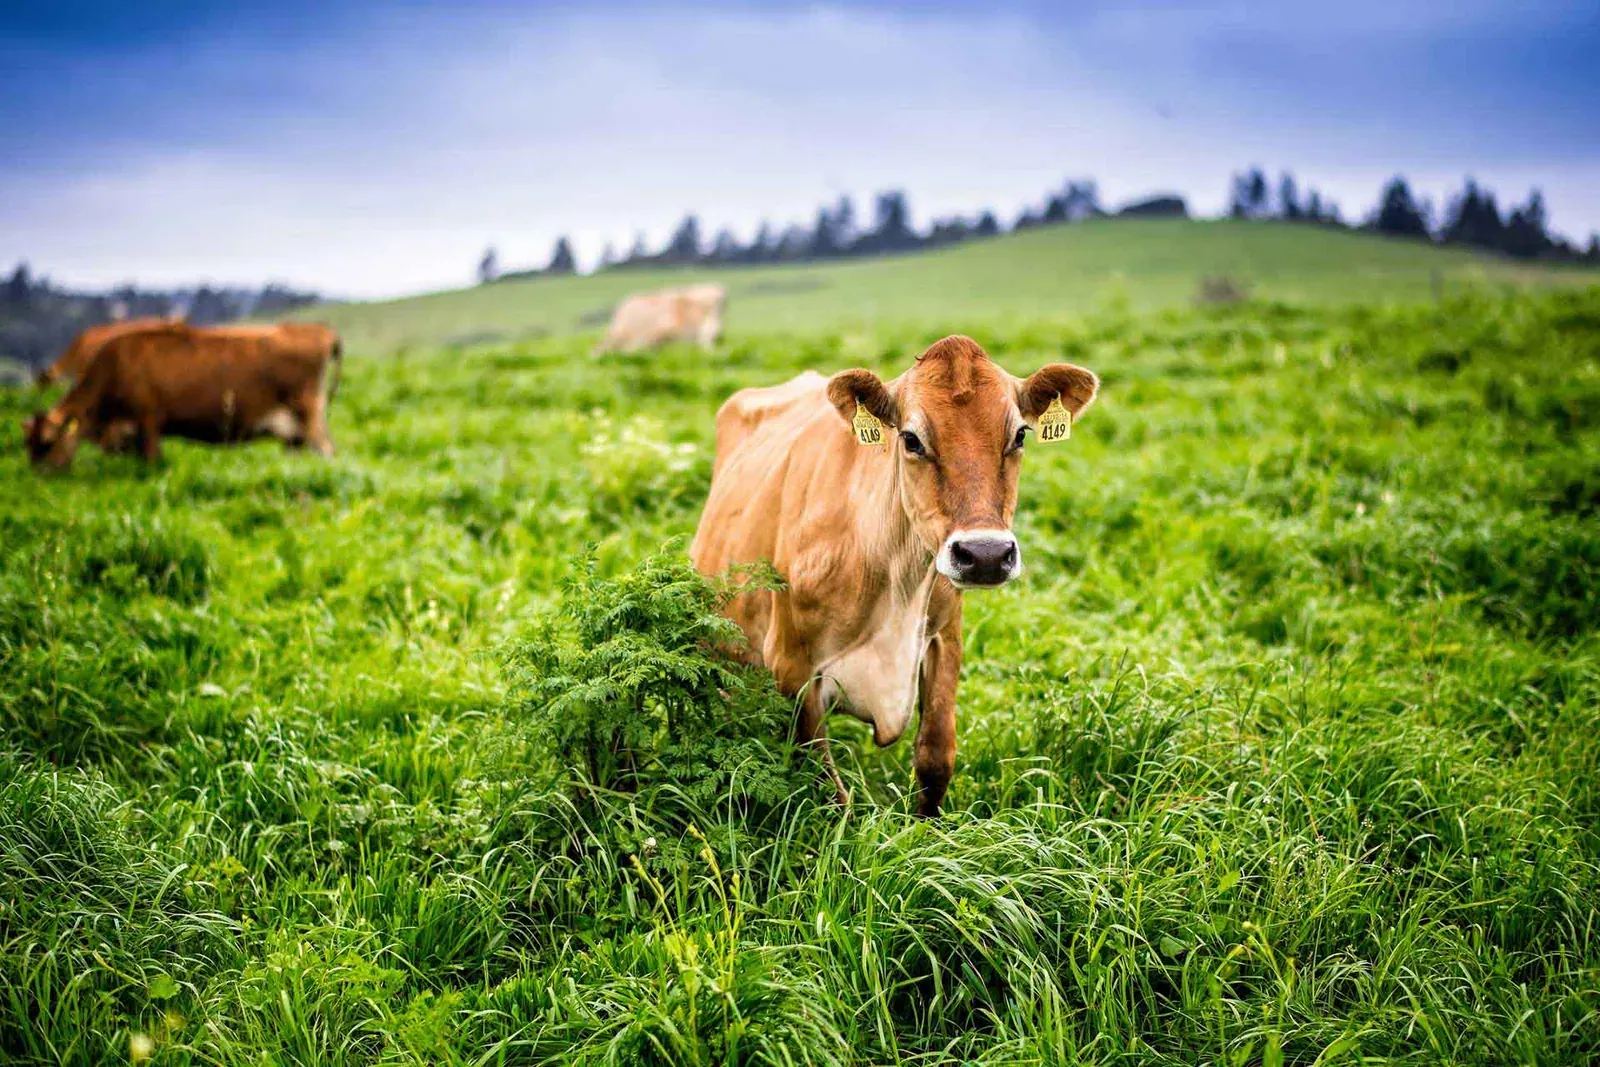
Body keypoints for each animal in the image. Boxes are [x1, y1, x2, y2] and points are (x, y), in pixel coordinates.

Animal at [689, 335, 1098, 816]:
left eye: (1018, 435)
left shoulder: (944, 637)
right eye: (911, 438)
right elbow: (827, 790)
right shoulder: (791, 667)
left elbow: (936, 756)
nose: (985, 554)